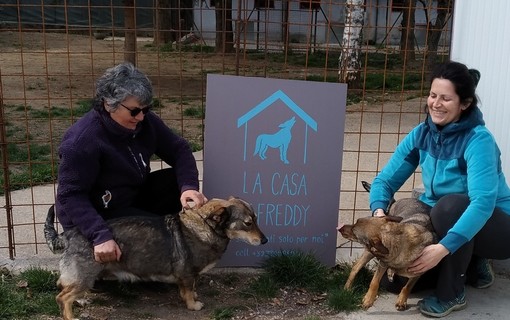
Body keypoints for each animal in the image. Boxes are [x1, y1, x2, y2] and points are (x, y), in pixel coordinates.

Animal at [44, 196, 266, 320]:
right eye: (248, 223)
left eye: (256, 219)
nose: (264, 240)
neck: (205, 227)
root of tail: (67, 235)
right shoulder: (187, 274)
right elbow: (188, 292)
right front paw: (193, 305)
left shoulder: (190, 276)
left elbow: (192, 289)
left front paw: (195, 297)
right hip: (85, 277)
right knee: (62, 297)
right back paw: (70, 316)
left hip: (81, 279)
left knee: (62, 285)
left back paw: (80, 300)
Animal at [338, 182, 434, 310]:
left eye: (354, 232)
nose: (340, 228)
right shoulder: (382, 263)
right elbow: (374, 282)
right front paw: (368, 299)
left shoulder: (418, 273)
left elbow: (407, 287)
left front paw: (402, 300)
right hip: (369, 252)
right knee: (355, 267)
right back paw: (347, 288)